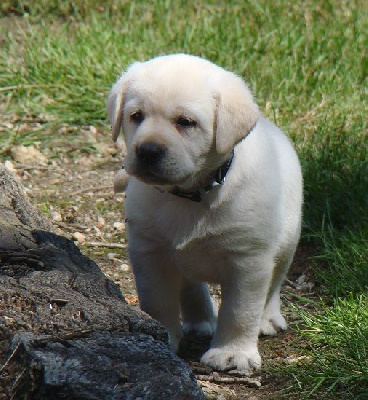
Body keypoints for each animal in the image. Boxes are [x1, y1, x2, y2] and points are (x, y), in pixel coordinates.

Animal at [105, 54, 302, 374]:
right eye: (136, 116)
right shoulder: (150, 252)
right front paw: (162, 337)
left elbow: (239, 311)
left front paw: (232, 354)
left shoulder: (248, 260)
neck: (191, 193)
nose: (147, 150)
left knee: (274, 285)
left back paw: (268, 319)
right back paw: (200, 322)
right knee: (192, 287)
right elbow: (156, 302)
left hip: (287, 243)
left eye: (186, 122)